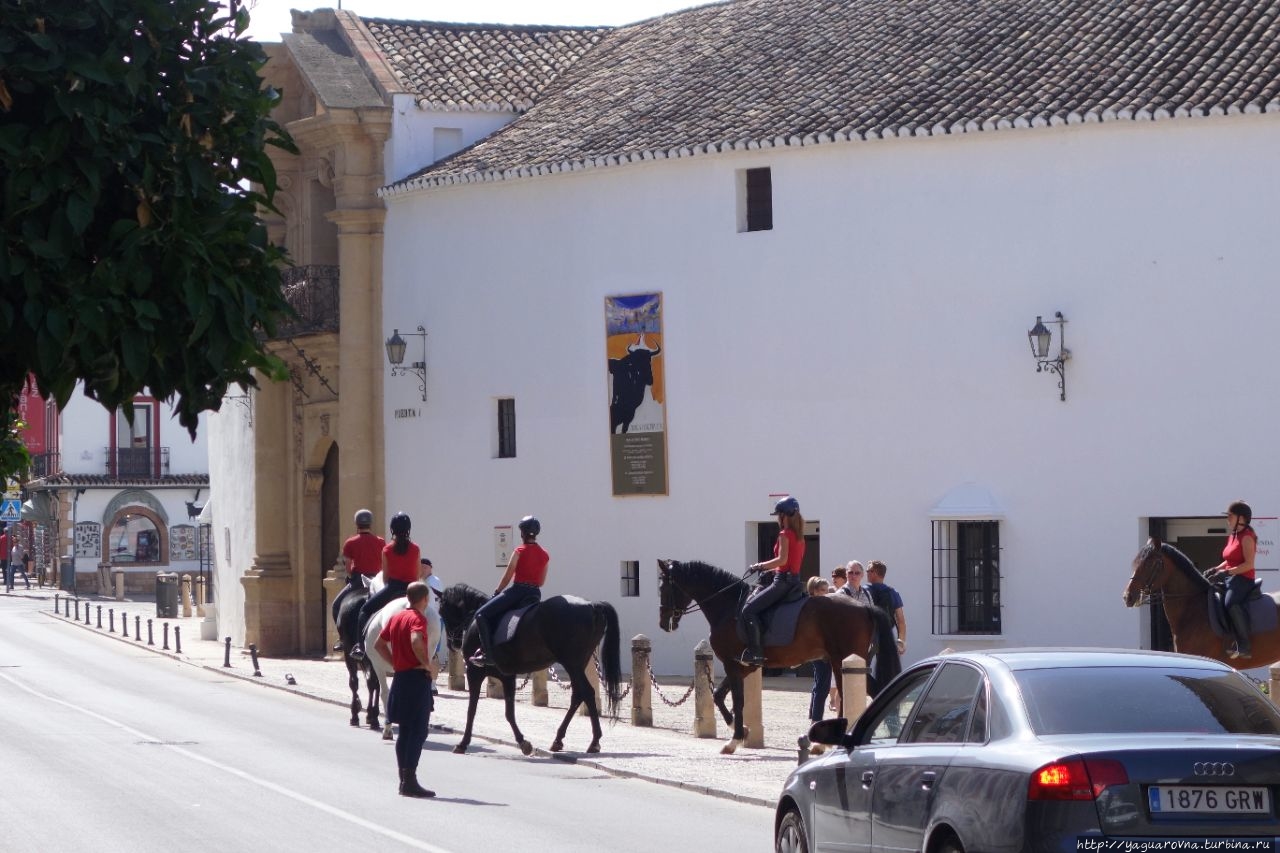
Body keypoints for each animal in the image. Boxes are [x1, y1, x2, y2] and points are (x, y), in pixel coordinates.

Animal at [437, 581, 622, 753]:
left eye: (441, 611)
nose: (453, 643)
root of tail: (592, 605)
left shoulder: (474, 672)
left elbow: (472, 710)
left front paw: (463, 743)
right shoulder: (507, 676)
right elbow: (509, 713)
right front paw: (523, 742)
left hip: (572, 663)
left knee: (587, 692)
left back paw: (594, 741)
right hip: (577, 664)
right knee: (578, 695)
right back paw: (559, 740)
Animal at [660, 558, 901, 753]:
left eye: (663, 587)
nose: (663, 623)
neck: (729, 606)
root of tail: (864, 607)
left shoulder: (732, 663)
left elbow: (737, 700)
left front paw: (735, 739)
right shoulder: (743, 665)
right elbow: (719, 695)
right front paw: (741, 729)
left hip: (841, 661)